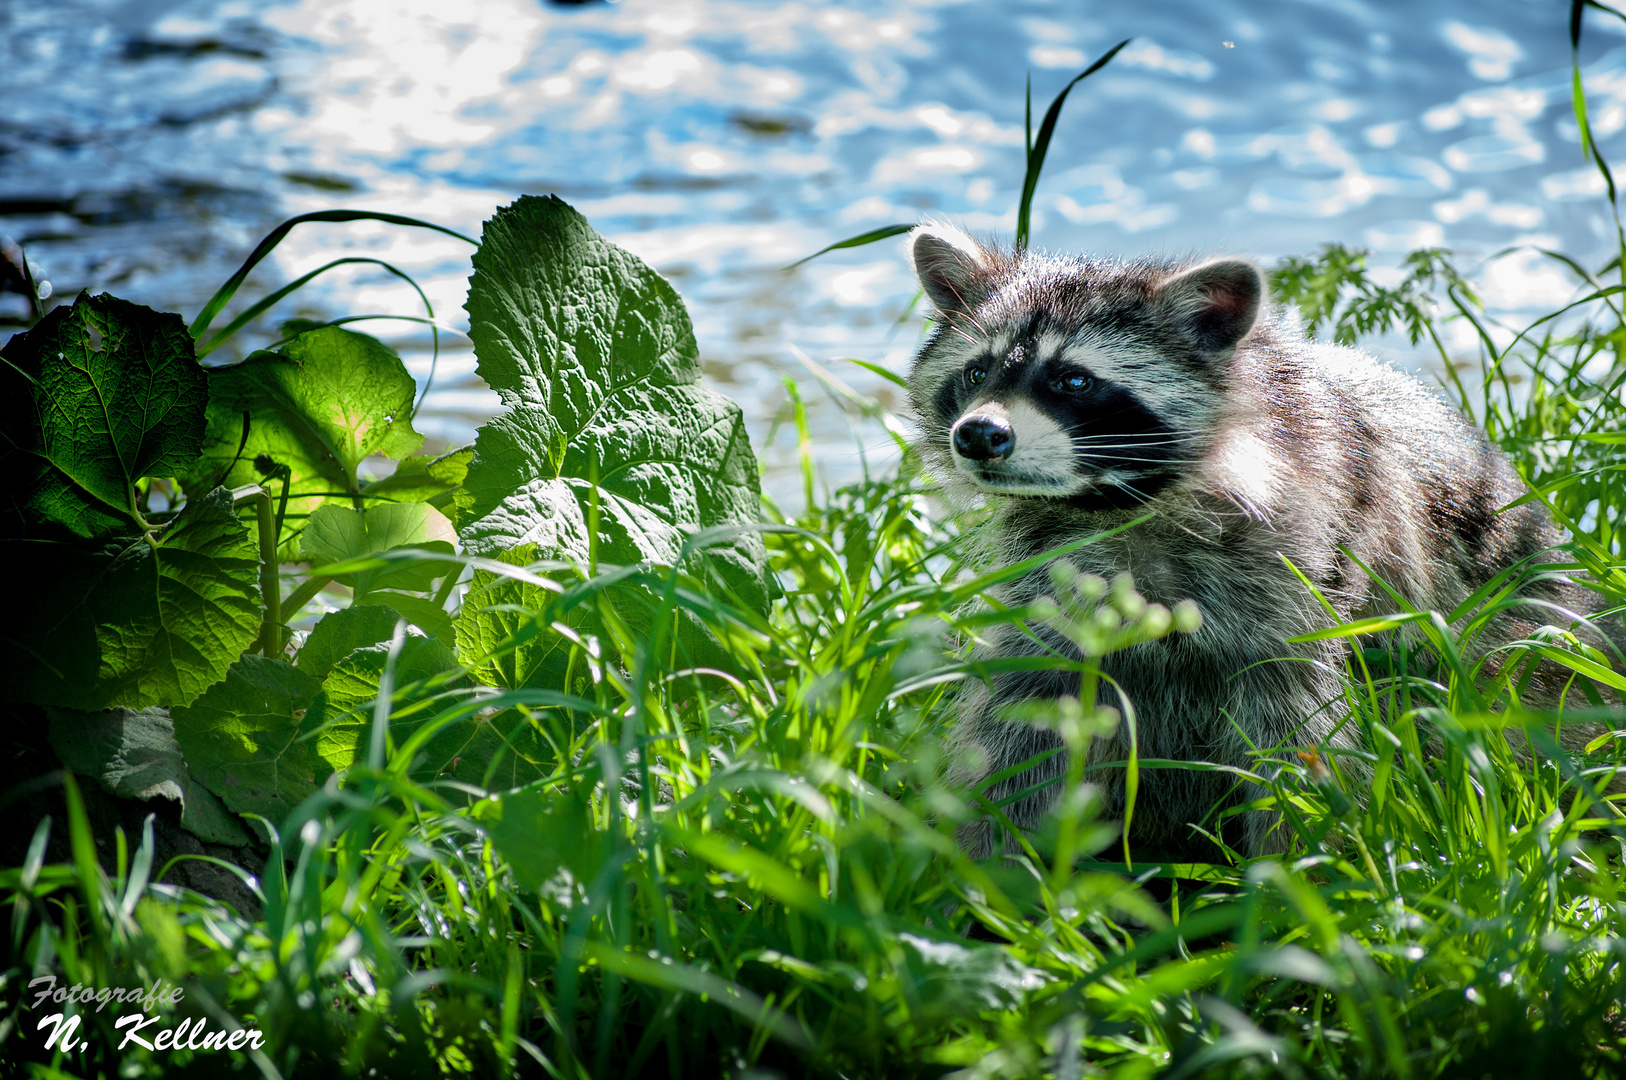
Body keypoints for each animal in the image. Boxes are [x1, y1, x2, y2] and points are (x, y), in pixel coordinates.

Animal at [904, 221, 1612, 858]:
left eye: (1073, 379)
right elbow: (1025, 720)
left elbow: (1298, 737)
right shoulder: (1051, 585)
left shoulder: (1307, 569)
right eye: (976, 373)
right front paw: (991, 864)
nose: (979, 434)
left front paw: (1291, 868)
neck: (1120, 505)